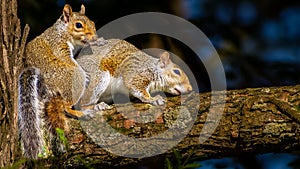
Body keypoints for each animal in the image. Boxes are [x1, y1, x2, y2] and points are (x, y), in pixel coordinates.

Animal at [18, 4, 102, 160]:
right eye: (78, 25)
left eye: (93, 22)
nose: (94, 36)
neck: (62, 30)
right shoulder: (58, 45)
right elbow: (70, 61)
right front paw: (84, 71)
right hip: (71, 78)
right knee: (65, 106)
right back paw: (81, 113)